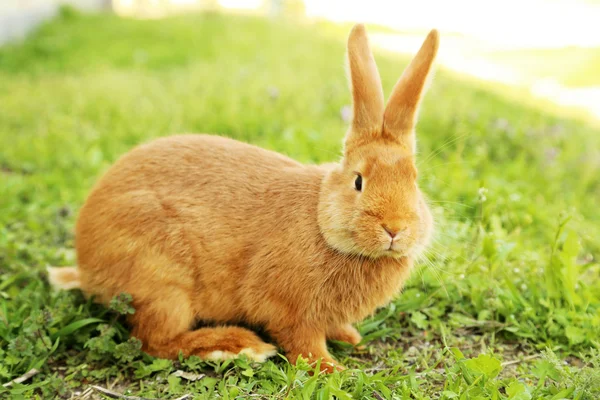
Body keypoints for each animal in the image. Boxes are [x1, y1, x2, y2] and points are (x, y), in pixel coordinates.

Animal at [47, 24, 438, 372]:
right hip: (161, 280)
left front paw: (349, 337)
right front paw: (330, 368)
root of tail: (88, 266)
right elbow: (302, 341)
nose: (395, 228)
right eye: (358, 181)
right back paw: (238, 346)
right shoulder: (287, 308)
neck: (321, 221)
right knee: (155, 342)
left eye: (414, 180)